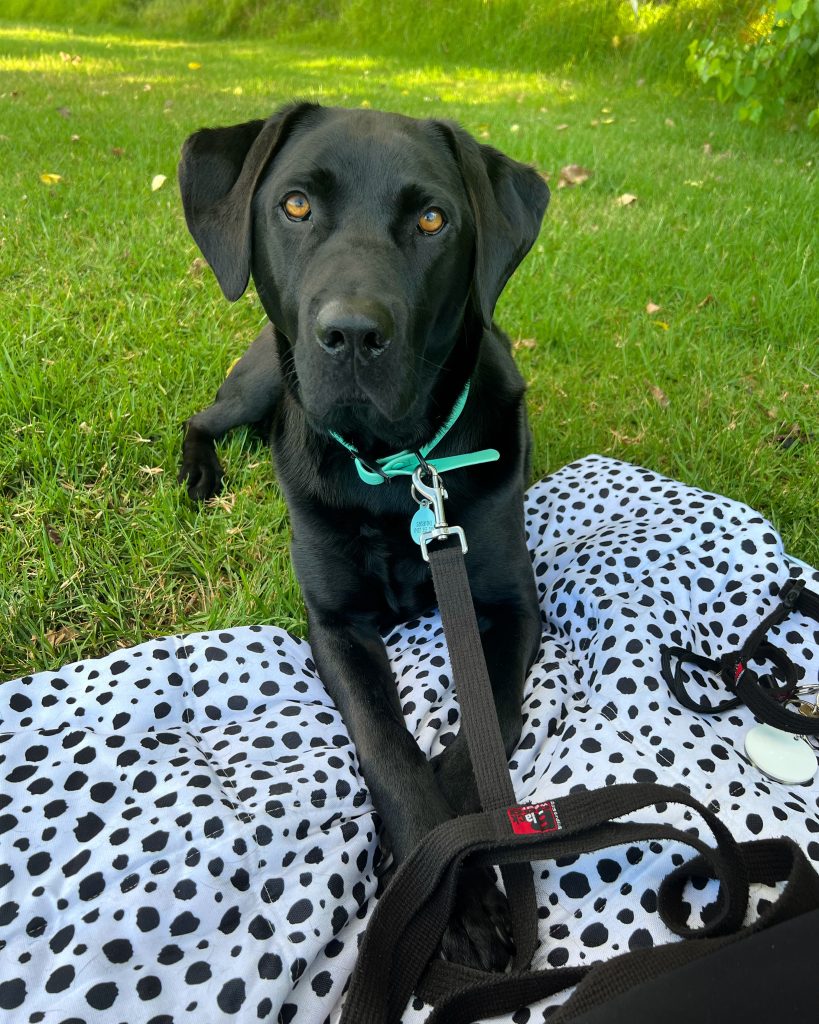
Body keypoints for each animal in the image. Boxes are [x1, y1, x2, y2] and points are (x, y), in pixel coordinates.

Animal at [179, 101, 548, 966]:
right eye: (295, 206)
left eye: (432, 219)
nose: (351, 333)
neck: (396, 466)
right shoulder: (336, 622)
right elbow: (386, 747)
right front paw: (446, 896)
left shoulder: (510, 605)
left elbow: (483, 731)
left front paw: (454, 865)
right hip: (258, 385)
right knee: (199, 419)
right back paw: (200, 477)